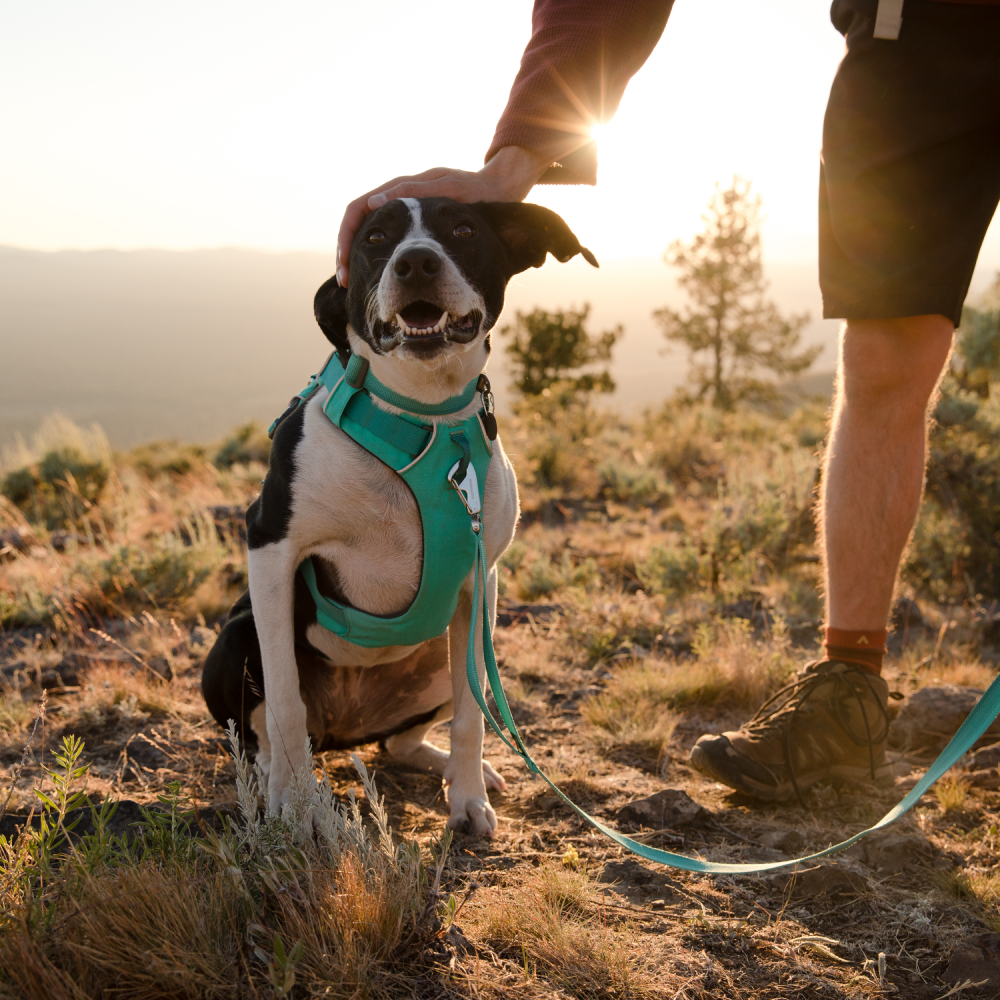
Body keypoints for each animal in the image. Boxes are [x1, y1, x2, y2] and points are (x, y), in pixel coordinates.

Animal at [199, 197, 596, 836]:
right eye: (375, 238)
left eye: (463, 229)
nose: (415, 263)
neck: (422, 415)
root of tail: (345, 729)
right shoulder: (270, 547)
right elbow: (284, 700)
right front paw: (294, 805)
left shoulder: (480, 582)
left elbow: (472, 714)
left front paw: (466, 798)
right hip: (235, 641)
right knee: (267, 734)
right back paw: (279, 776)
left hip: (445, 652)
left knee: (405, 739)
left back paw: (454, 767)